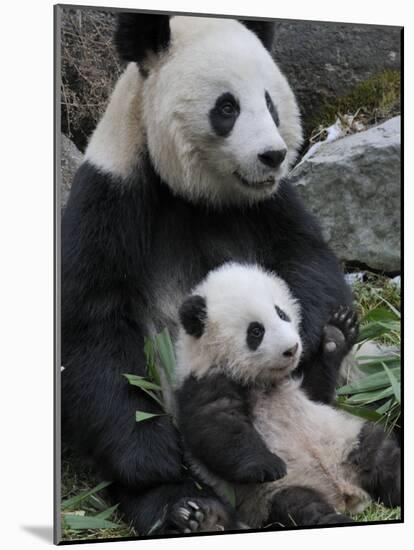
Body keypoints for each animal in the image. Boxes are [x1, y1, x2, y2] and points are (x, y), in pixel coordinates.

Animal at [60, 12, 352, 536]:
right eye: (227, 107)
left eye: (270, 102)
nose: (273, 155)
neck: (193, 193)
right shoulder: (112, 194)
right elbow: (93, 323)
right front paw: (153, 459)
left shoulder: (269, 203)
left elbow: (307, 259)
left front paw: (308, 339)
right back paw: (191, 510)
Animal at [175, 266, 402, 532]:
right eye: (256, 331)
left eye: (281, 313)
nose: (292, 348)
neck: (261, 380)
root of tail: (346, 495)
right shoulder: (202, 380)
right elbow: (217, 426)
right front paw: (267, 464)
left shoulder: (299, 384)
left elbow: (319, 392)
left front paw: (337, 334)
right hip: (276, 494)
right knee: (301, 507)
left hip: (347, 439)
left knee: (382, 456)